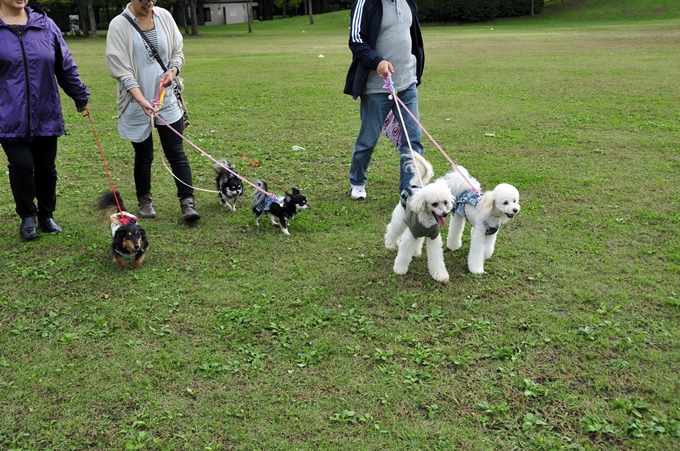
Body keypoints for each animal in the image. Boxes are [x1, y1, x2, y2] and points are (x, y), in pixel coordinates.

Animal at [386, 154, 454, 284]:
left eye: (445, 202)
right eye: (434, 204)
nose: (445, 213)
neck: (427, 222)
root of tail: (413, 185)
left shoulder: (434, 239)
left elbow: (437, 259)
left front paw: (440, 275)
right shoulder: (410, 235)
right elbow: (404, 253)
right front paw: (399, 269)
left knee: (418, 240)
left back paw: (416, 252)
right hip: (400, 218)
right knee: (393, 229)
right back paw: (389, 244)